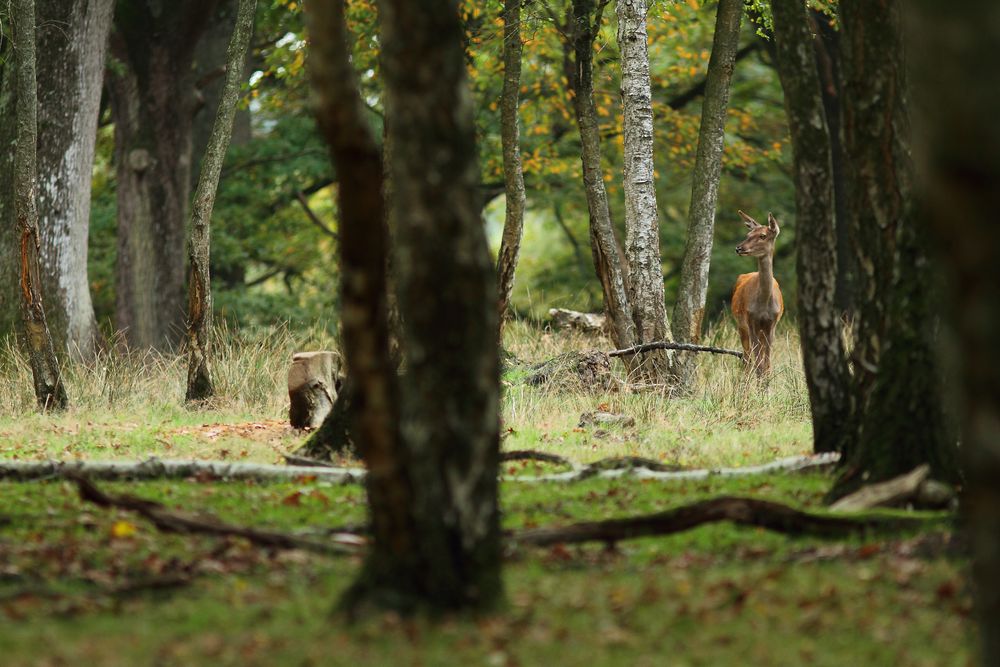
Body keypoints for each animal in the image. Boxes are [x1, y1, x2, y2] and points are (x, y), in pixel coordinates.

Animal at [732, 211, 784, 378]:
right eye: (748, 234)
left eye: (763, 235)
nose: (739, 248)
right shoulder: (750, 320)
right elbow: (758, 364)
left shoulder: (772, 323)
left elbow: (767, 364)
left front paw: (766, 384)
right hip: (741, 325)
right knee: (747, 358)